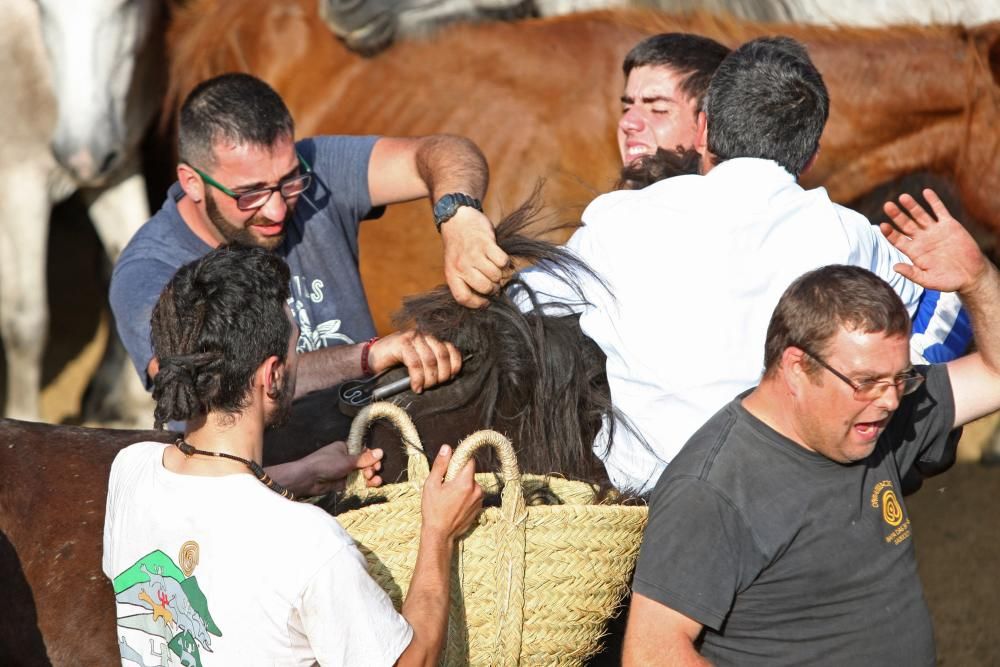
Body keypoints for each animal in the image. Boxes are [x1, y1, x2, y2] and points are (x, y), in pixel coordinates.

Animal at [0, 0, 160, 426]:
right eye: (41, 8)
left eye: (128, 7)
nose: (83, 158)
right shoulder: (20, 183)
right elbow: (27, 323)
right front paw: (24, 420)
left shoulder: (118, 172)